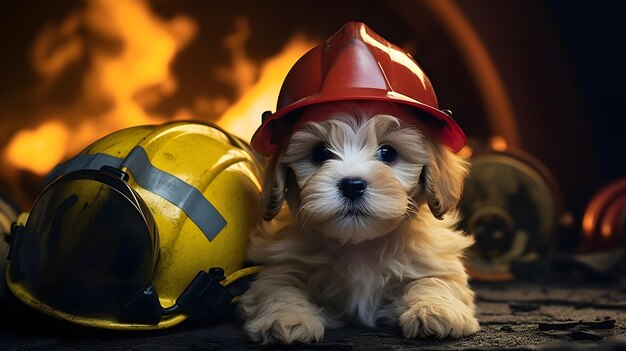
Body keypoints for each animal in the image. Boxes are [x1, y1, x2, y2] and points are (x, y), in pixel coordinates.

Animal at [239, 100, 478, 346]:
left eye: (388, 153)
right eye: (320, 153)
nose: (352, 185)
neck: (359, 243)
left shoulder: (432, 260)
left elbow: (434, 281)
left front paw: (434, 311)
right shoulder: (284, 262)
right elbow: (280, 287)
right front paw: (286, 318)